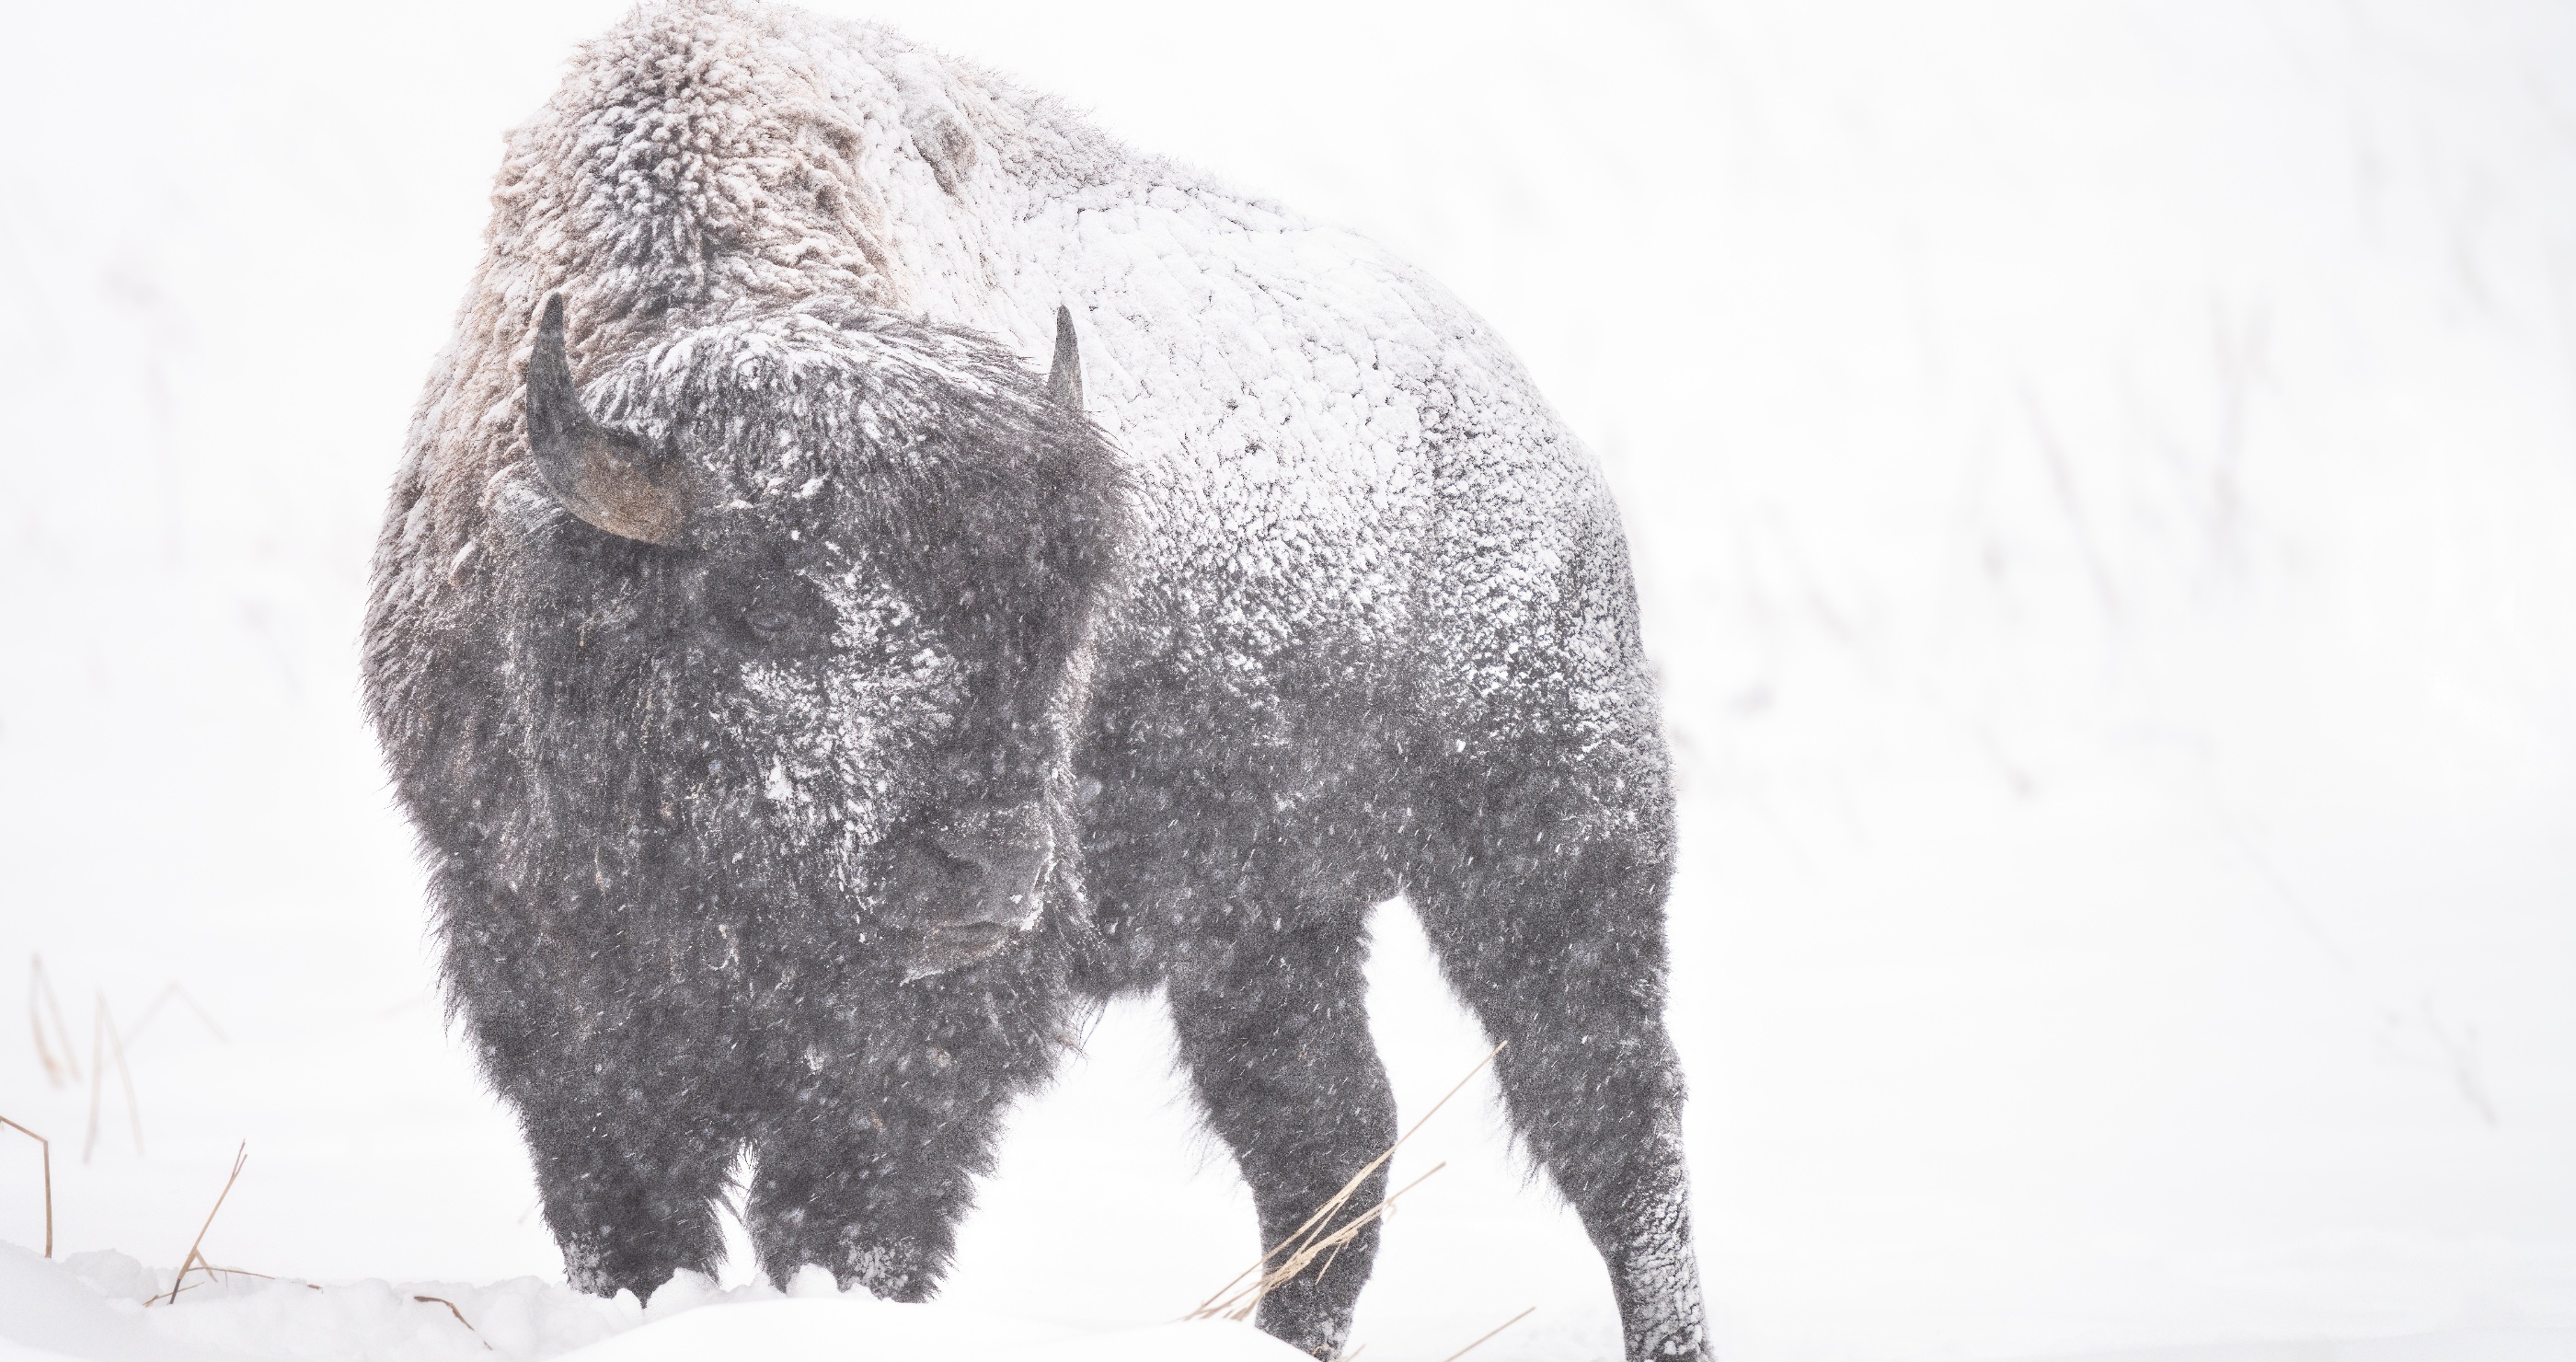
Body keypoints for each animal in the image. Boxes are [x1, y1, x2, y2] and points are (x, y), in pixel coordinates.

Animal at [352, 5, 1700, 1349]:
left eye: (1057, 627)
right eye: (770, 598)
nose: (994, 862)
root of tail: (1548, 452)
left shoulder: (915, 1047)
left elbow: (846, 1218)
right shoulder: (545, 973)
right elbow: (629, 1214)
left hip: (1546, 852)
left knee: (1610, 1123)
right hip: (1266, 931)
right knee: (1328, 1137)